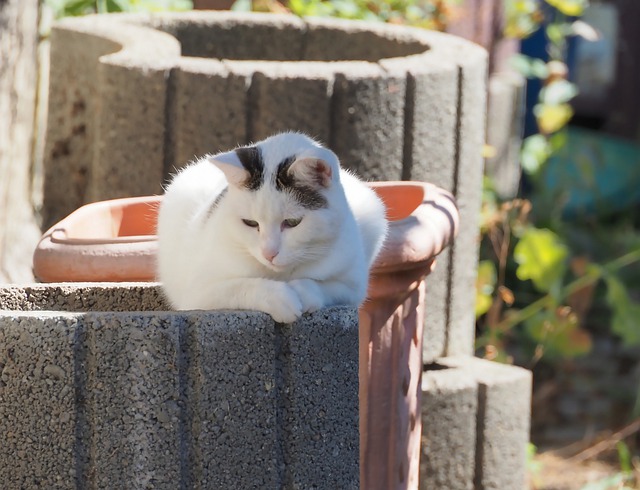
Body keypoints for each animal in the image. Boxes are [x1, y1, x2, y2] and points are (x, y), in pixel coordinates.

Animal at [158, 131, 388, 322]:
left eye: (292, 223)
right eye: (250, 223)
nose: (269, 253)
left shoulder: (353, 287)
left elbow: (321, 285)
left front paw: (303, 292)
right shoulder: (198, 293)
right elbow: (242, 285)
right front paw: (280, 298)